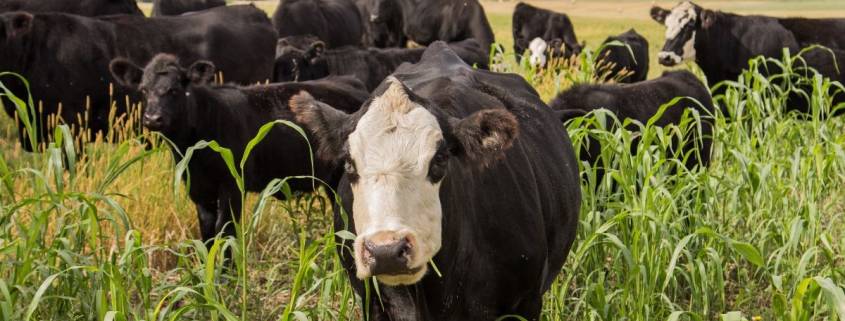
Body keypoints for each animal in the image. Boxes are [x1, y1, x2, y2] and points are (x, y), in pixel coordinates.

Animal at [107, 54, 368, 255]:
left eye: (174, 90)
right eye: (144, 90)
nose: (153, 118)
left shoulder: (232, 187)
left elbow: (225, 231)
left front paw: (226, 278)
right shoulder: (199, 191)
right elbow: (208, 234)